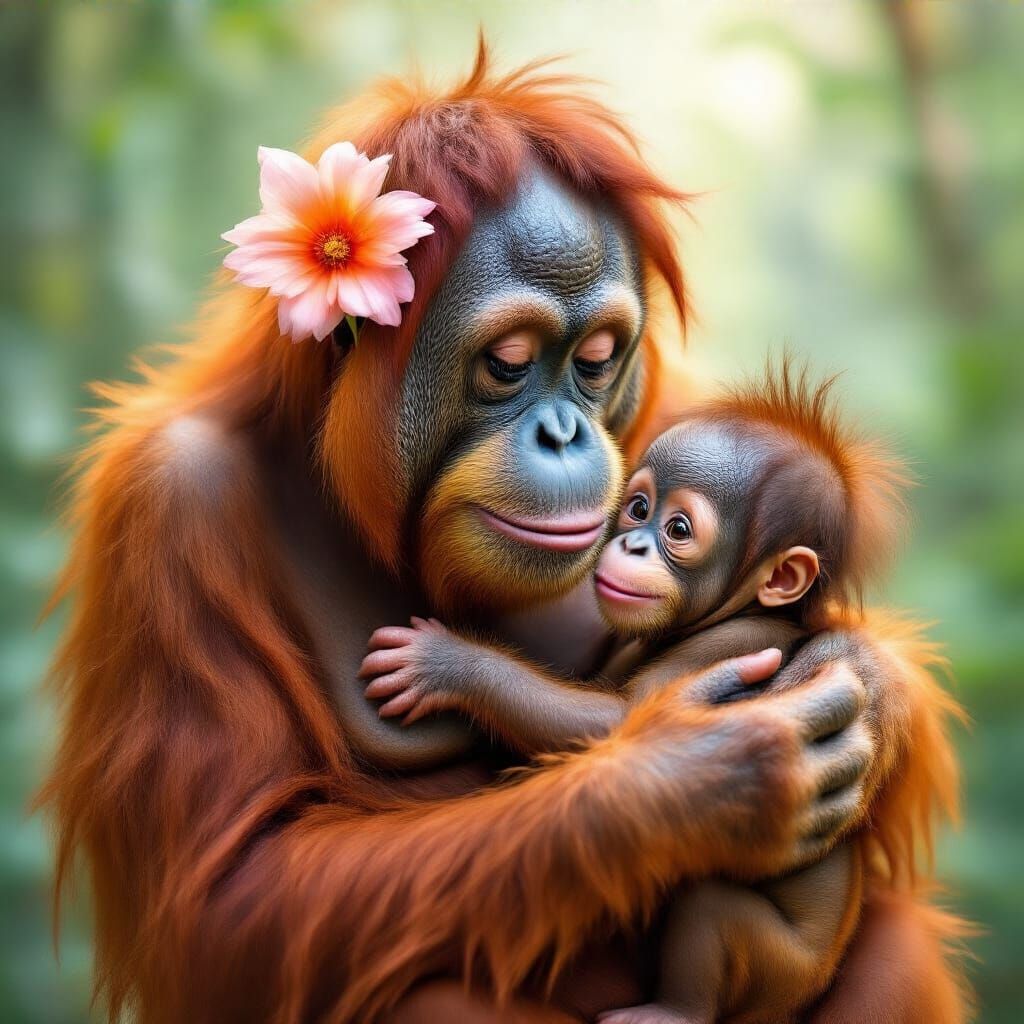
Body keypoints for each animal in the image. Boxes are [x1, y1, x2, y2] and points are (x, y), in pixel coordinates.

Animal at [359, 365, 929, 1024]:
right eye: (637, 508)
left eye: (677, 529)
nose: (631, 544)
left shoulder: (734, 642)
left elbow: (622, 719)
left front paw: (447, 664)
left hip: (782, 971)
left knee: (711, 903)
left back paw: (672, 1011)